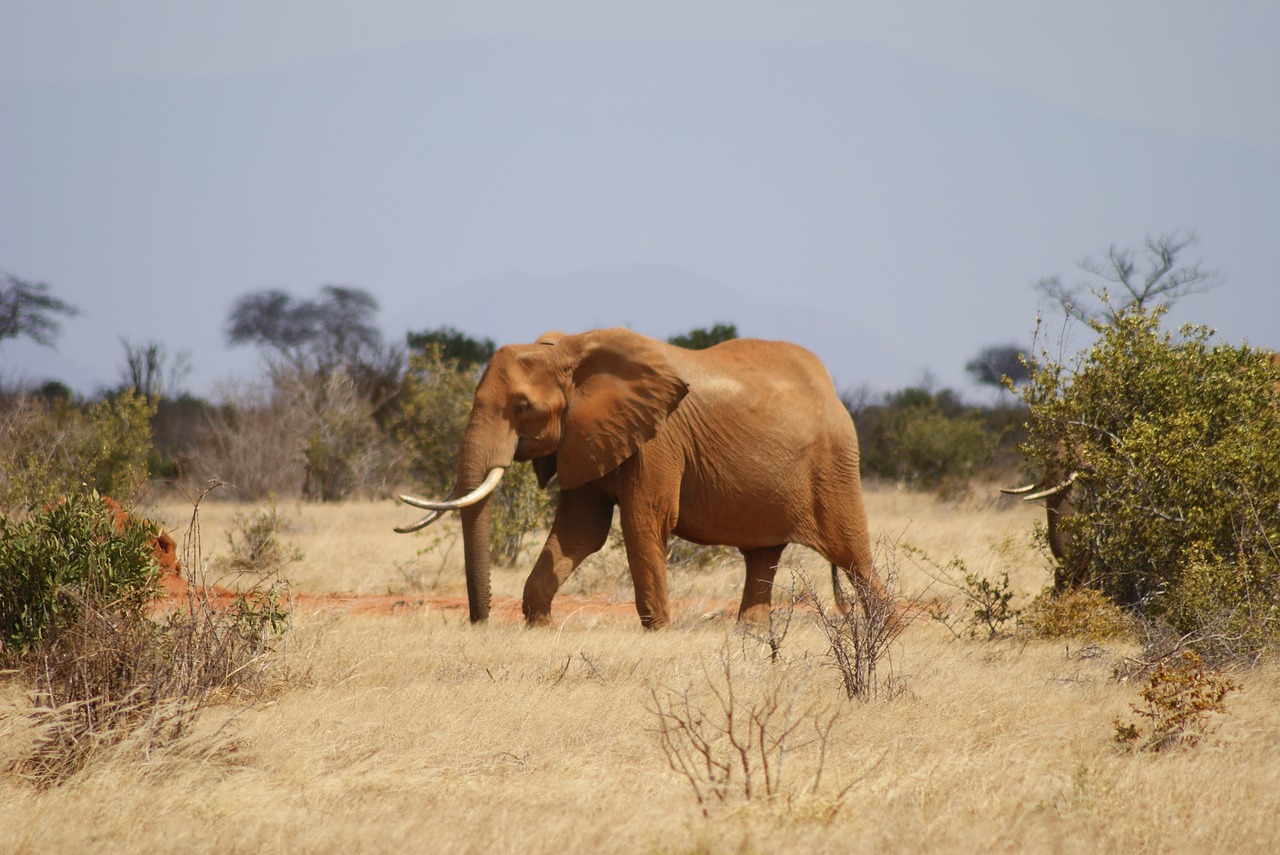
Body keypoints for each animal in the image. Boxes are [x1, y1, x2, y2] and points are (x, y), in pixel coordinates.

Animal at [394, 327, 885, 627]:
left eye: (522, 407)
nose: (480, 623)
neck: (570, 351)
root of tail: (834, 392)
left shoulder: (657, 440)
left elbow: (643, 521)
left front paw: (659, 633)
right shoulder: (586, 436)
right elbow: (579, 532)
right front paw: (541, 625)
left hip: (835, 467)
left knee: (853, 557)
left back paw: (885, 632)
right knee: (762, 557)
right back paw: (749, 637)